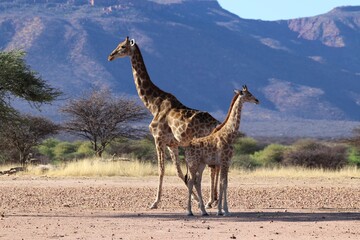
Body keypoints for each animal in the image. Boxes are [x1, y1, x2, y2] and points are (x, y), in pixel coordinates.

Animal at [107, 36, 219, 209]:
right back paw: (212, 200)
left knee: (213, 168)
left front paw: (155, 202)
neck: (153, 104)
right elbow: (179, 172)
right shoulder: (172, 144)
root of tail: (217, 123)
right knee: (215, 167)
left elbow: (161, 170)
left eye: (122, 46)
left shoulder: (158, 138)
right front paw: (194, 199)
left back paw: (210, 201)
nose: (110, 56)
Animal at [184, 85, 258, 217]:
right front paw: (223, 210)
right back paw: (189, 211)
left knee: (197, 181)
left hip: (201, 164)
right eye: (248, 94)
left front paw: (222, 210)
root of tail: (186, 147)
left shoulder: (227, 163)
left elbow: (224, 183)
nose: (257, 100)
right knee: (191, 181)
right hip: (193, 163)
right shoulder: (223, 161)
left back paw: (203, 211)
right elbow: (223, 183)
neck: (230, 135)